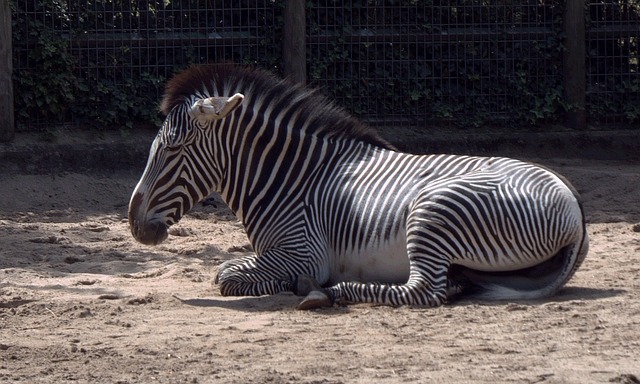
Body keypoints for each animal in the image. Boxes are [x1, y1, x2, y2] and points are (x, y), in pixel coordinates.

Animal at [129, 63, 592, 308]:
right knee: (447, 285)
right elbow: (227, 270)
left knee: (425, 292)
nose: (133, 223)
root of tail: (572, 202)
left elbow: (225, 274)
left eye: (173, 149)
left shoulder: (301, 253)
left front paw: (303, 285)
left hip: (434, 208)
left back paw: (328, 293)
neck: (291, 177)